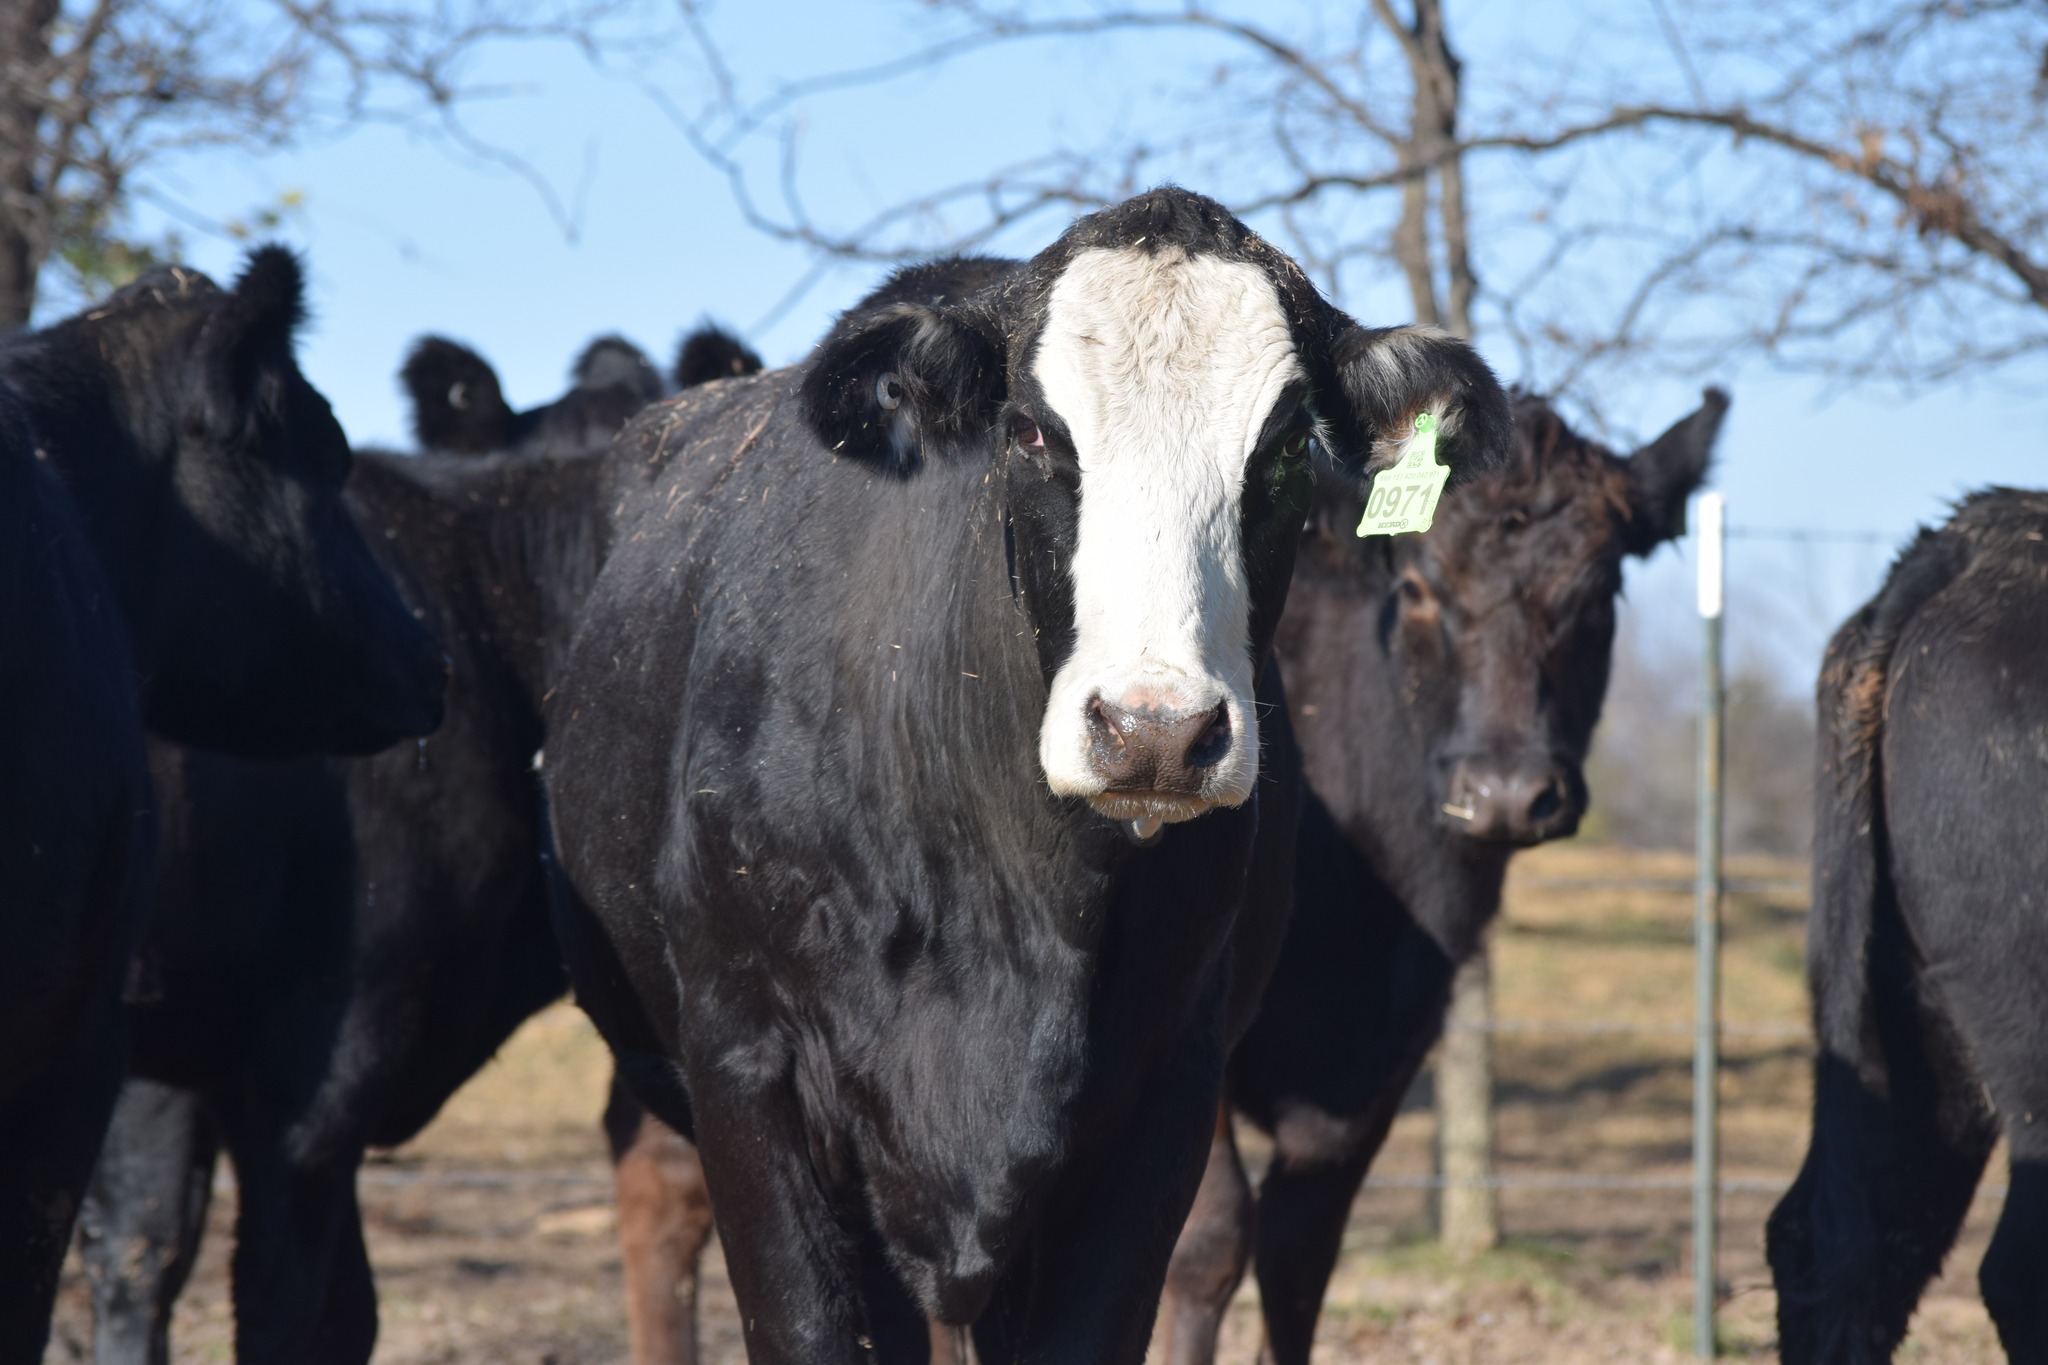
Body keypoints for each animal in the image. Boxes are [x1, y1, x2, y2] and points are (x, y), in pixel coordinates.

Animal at [1152, 388, 1727, 1365]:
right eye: (1417, 587)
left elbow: (1298, 1259)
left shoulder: (1383, 1065)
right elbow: (1206, 1239)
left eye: (1601, 592)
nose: (1506, 793)